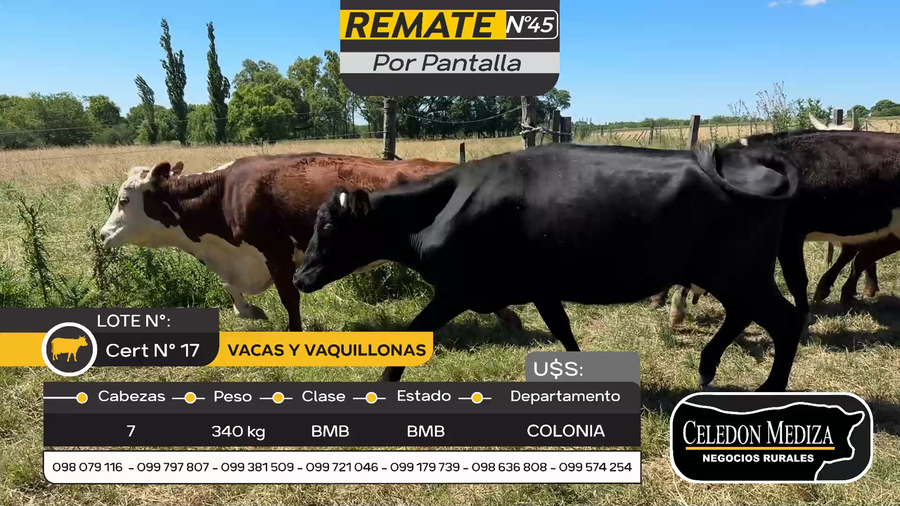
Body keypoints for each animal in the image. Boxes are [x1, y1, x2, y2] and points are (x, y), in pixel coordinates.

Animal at [98, 153, 522, 331]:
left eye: (124, 200)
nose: (102, 235)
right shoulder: (244, 258)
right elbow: (232, 292)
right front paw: (253, 313)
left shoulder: (275, 252)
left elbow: (289, 297)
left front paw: (293, 333)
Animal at [293, 143, 806, 391]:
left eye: (329, 227)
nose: (300, 277)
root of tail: (747, 157)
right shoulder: (539, 286)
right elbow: (563, 331)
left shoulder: (457, 290)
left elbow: (412, 332)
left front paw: (383, 384)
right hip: (735, 276)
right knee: (746, 315)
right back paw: (707, 367)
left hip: (740, 273)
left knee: (784, 319)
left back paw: (770, 388)